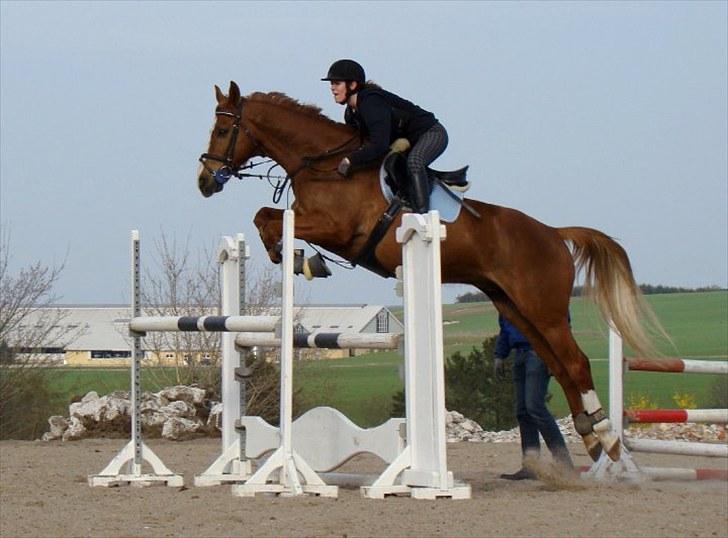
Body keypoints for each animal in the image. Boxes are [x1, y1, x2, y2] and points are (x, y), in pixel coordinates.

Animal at [196, 80, 664, 460]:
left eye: (222, 130)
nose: (204, 181)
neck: (325, 164)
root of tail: (552, 232)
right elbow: (264, 216)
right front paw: (292, 255)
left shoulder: (339, 229)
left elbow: (273, 219)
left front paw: (295, 257)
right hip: (515, 308)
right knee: (560, 365)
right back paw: (590, 439)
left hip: (542, 308)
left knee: (577, 362)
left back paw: (608, 440)